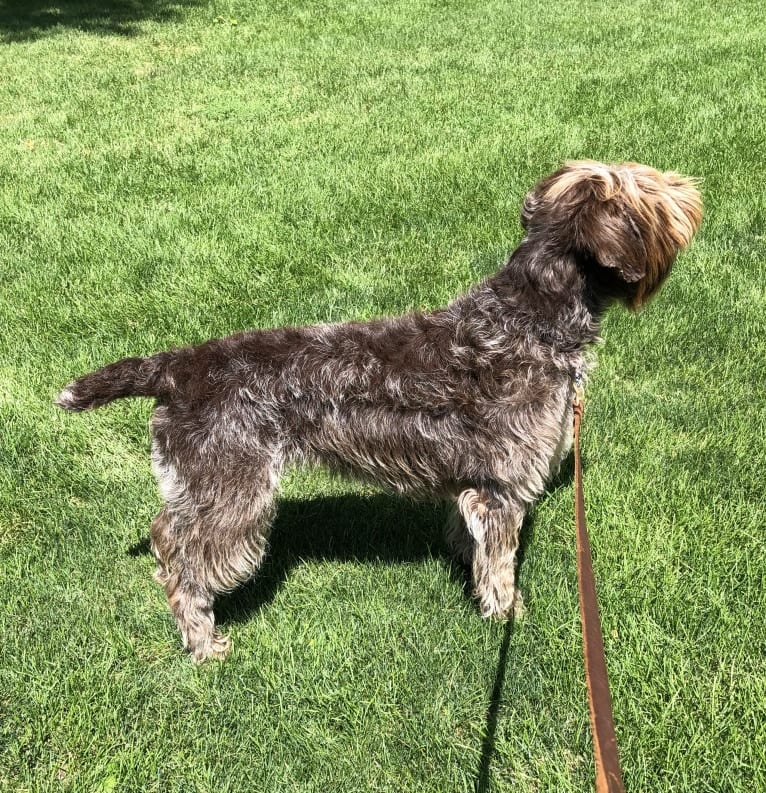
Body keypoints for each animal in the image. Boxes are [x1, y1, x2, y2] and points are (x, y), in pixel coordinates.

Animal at [57, 158, 704, 660]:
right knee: (180, 563)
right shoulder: (502, 488)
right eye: (647, 190)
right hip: (233, 496)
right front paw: (507, 616)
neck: (529, 319)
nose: (690, 192)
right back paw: (201, 642)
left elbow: (467, 537)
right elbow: (500, 564)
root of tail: (175, 368)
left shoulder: (473, 486)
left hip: (202, 487)